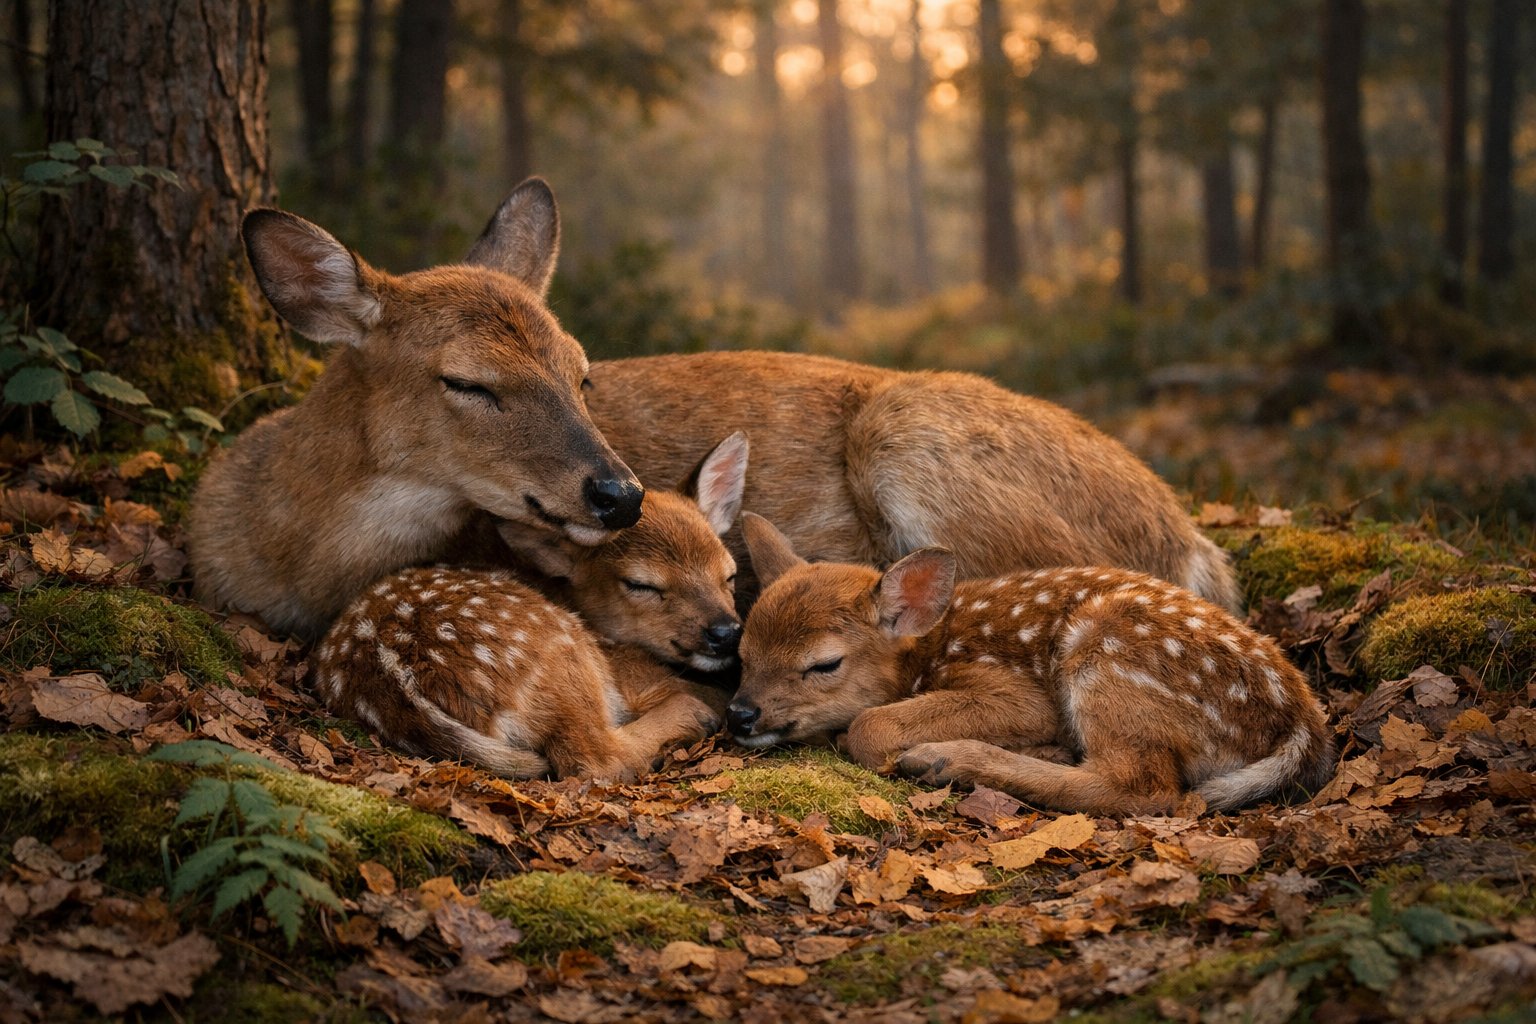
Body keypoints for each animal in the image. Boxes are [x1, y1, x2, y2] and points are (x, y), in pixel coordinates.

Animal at [311, 434, 749, 780]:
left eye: (729, 574)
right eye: (641, 584)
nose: (726, 632)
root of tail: (396, 679)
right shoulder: (635, 678)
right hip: (561, 650)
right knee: (596, 758)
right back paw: (694, 714)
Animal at [727, 513, 1334, 816]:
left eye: (824, 664)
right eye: (742, 651)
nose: (740, 714)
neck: (928, 649)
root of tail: (1301, 726)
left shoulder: (1018, 690)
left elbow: (867, 725)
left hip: (1106, 651)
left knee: (1151, 789)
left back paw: (947, 760)